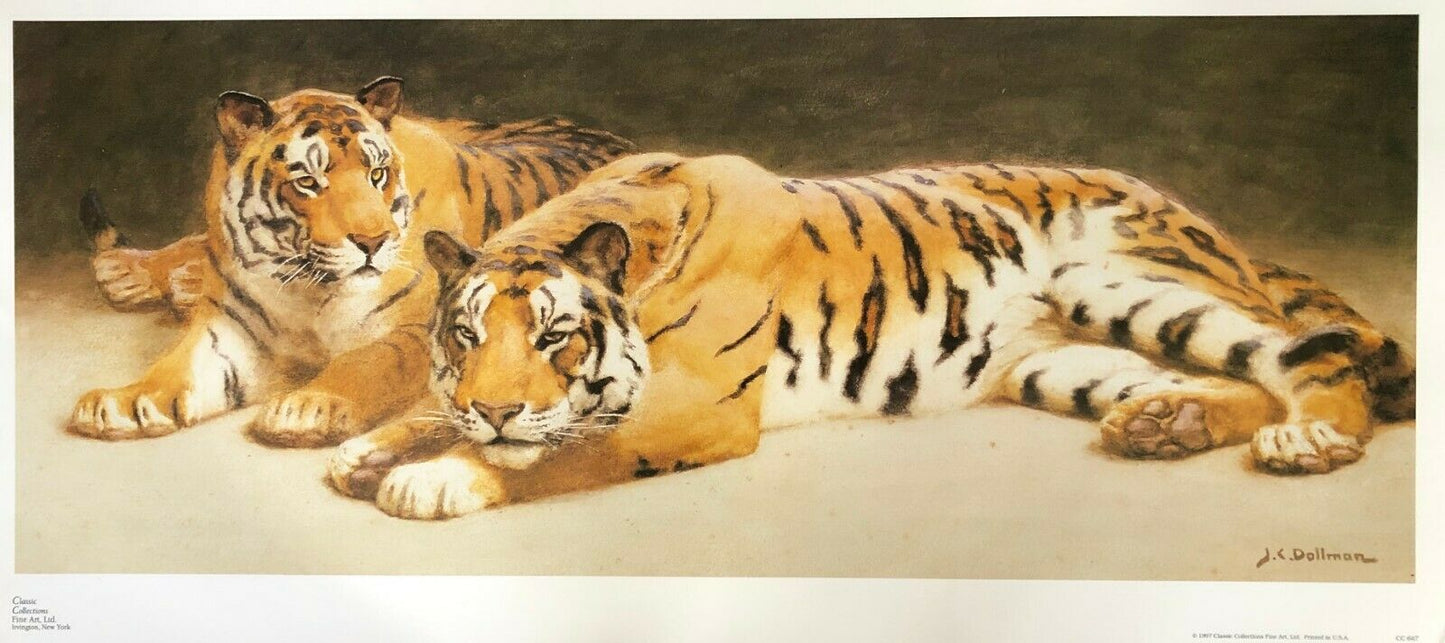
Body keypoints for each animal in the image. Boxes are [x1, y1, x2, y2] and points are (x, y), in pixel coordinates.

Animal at [68, 77, 636, 447]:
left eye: (377, 174)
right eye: (307, 181)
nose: (374, 240)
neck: (301, 281)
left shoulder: (415, 333)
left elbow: (365, 362)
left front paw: (308, 407)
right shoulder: (232, 325)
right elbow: (177, 365)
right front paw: (125, 402)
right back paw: (131, 270)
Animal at [320, 152, 1415, 520]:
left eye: (555, 339)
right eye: (464, 339)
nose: (496, 404)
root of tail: (1196, 215)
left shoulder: (695, 406)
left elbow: (554, 453)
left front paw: (437, 475)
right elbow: (424, 413)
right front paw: (371, 449)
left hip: (1130, 279)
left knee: (1308, 353)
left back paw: (1307, 437)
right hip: (1056, 357)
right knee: (1230, 379)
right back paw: (1166, 424)